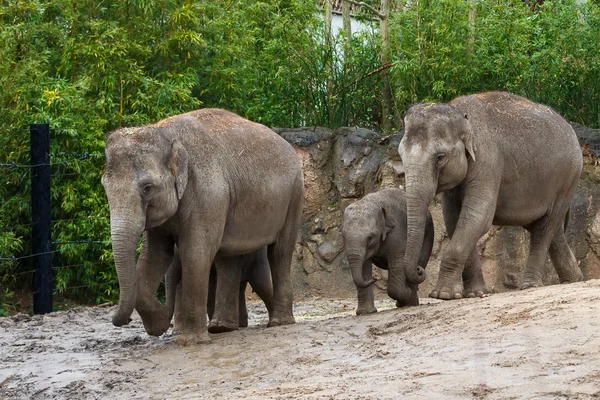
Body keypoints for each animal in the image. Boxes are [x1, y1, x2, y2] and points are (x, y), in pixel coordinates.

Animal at [102, 108, 304, 344]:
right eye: (104, 187)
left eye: (147, 187)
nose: (123, 320)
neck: (164, 131)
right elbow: (155, 255)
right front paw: (159, 323)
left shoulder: (208, 194)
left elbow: (195, 252)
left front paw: (190, 340)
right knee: (232, 255)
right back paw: (224, 327)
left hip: (294, 195)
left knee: (280, 251)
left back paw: (278, 323)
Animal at [342, 188, 436, 316]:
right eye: (343, 236)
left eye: (370, 237)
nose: (375, 277)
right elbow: (364, 267)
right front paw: (366, 313)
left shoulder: (397, 233)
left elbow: (397, 264)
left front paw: (406, 295)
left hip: (428, 235)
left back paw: (409, 302)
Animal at [396, 91, 584, 304]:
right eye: (400, 155)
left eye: (440, 157)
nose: (419, 270)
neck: (460, 112)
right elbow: (454, 220)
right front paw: (474, 293)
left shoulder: (488, 161)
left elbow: (477, 217)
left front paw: (442, 295)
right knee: (552, 229)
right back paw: (574, 280)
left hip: (567, 178)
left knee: (545, 228)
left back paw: (530, 285)